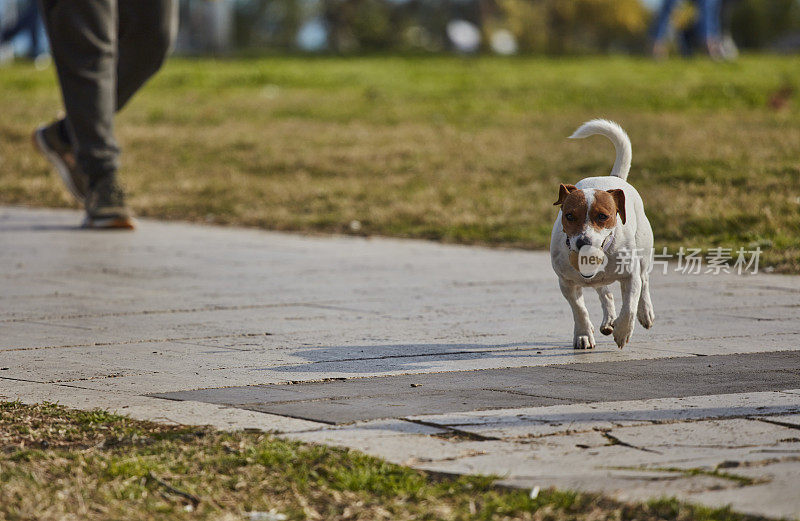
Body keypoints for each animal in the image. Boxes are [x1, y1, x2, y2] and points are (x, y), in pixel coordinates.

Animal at [552, 120, 656, 350]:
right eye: (569, 215)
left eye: (603, 216)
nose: (583, 242)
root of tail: (613, 177)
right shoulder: (566, 283)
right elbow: (579, 309)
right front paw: (583, 334)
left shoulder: (630, 277)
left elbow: (630, 306)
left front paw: (623, 331)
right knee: (605, 292)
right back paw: (608, 321)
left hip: (644, 253)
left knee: (644, 282)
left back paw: (645, 313)